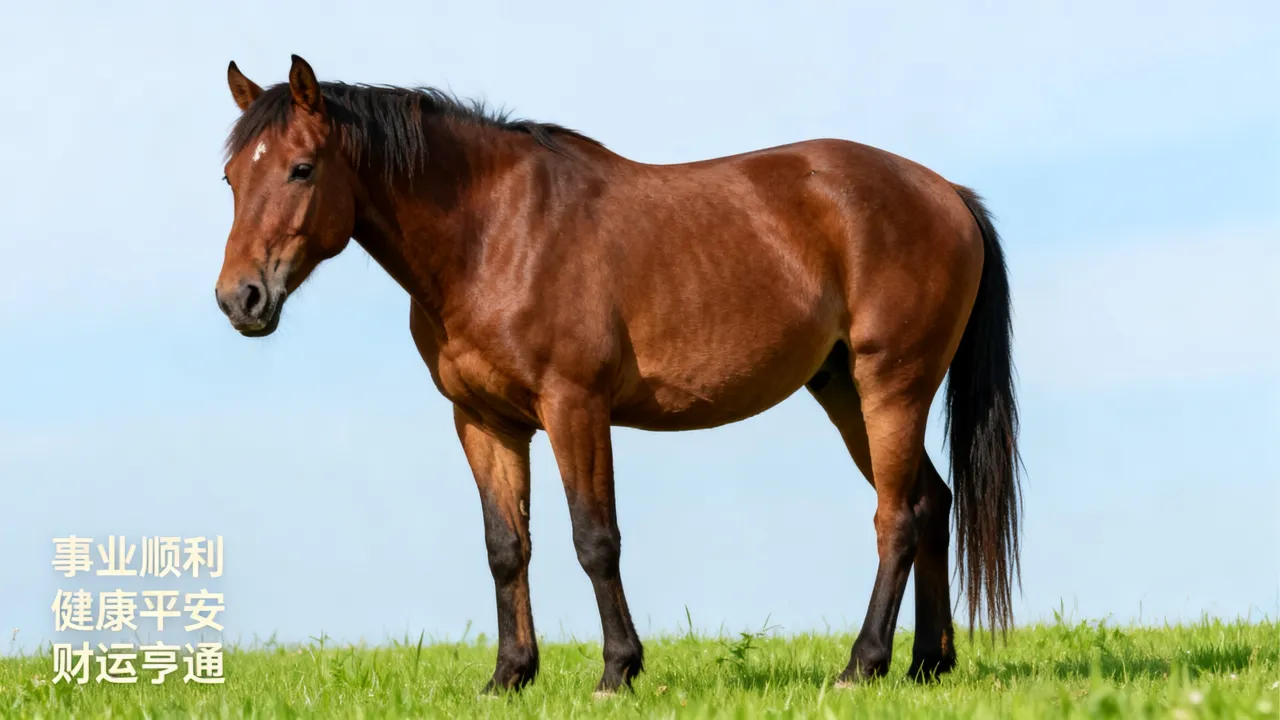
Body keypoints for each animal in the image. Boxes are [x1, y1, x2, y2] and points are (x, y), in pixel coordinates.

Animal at [214, 55, 1022, 696]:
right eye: (229, 176)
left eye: (302, 168)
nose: (239, 298)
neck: (495, 234)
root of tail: (947, 192)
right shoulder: (485, 421)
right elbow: (506, 548)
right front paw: (509, 676)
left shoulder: (575, 406)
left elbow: (595, 538)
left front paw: (618, 670)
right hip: (843, 390)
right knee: (931, 502)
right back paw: (926, 663)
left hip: (892, 385)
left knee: (898, 517)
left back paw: (863, 664)